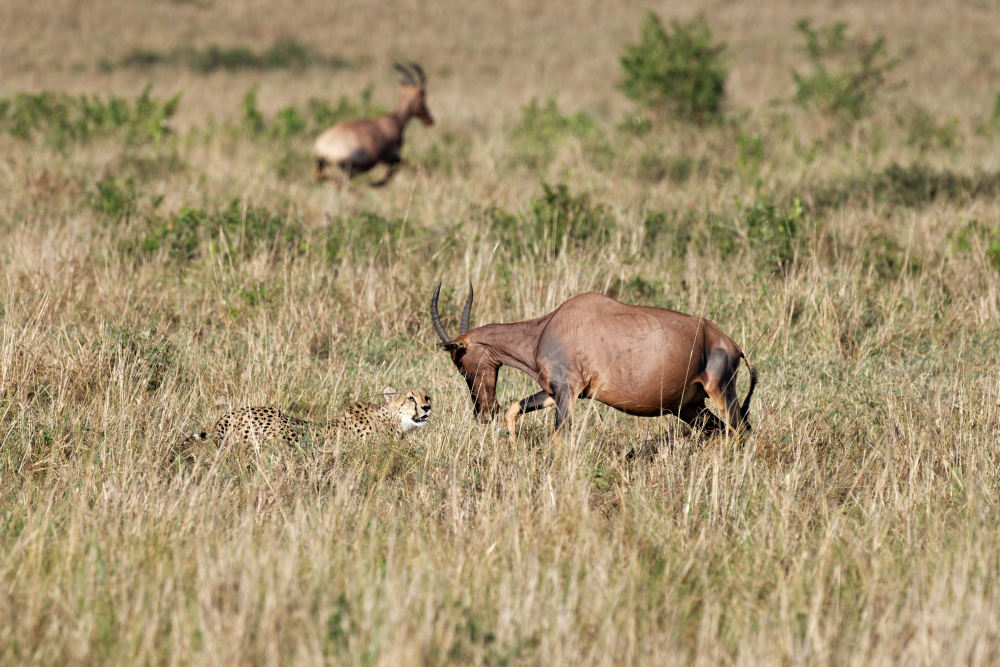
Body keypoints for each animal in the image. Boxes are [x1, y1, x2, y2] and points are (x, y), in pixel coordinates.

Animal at [432, 282, 756, 444]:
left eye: (459, 361)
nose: (484, 412)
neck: (548, 327)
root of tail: (731, 344)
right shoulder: (554, 391)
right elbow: (514, 411)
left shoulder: (567, 392)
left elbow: (560, 438)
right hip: (689, 407)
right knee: (721, 430)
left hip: (721, 392)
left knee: (741, 430)